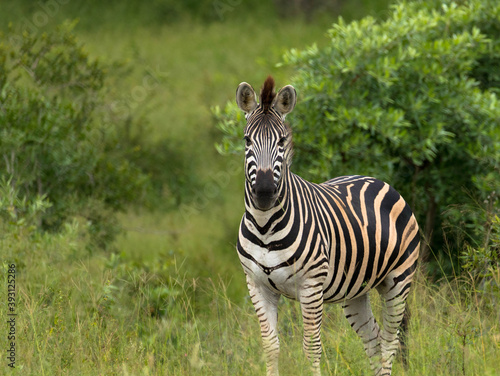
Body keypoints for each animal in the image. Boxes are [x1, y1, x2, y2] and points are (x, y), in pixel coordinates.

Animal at [233, 76, 418, 376]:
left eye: (281, 141)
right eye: (247, 140)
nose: (264, 192)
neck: (265, 227)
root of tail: (375, 179)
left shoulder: (311, 285)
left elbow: (311, 348)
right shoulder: (258, 285)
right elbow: (270, 346)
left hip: (398, 281)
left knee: (390, 341)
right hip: (356, 291)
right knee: (374, 339)